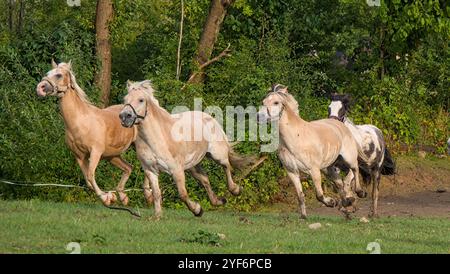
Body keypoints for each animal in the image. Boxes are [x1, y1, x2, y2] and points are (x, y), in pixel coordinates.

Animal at [35, 60, 141, 206]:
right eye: (47, 73)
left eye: (59, 75)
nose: (40, 88)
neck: (80, 122)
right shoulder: (79, 156)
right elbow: (87, 180)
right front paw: (111, 197)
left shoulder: (95, 152)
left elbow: (91, 175)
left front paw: (106, 198)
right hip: (112, 156)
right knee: (128, 168)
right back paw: (123, 197)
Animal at [256, 83, 366, 218]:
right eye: (263, 102)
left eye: (276, 102)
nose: (259, 117)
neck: (295, 138)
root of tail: (337, 122)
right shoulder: (292, 172)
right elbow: (300, 196)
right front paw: (303, 217)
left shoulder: (314, 170)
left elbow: (319, 195)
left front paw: (331, 202)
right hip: (328, 168)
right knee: (339, 183)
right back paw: (347, 202)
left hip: (348, 159)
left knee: (355, 169)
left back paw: (359, 193)